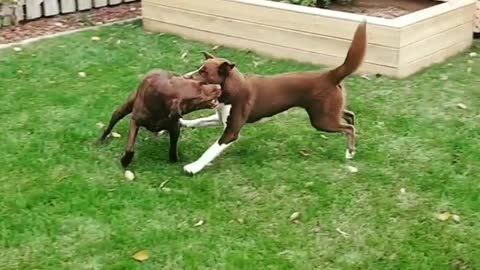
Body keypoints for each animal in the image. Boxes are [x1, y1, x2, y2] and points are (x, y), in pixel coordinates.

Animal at [181, 20, 368, 174]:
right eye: (200, 69)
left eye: (204, 73)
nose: (184, 76)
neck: (232, 89)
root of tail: (330, 75)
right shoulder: (221, 118)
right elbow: (200, 121)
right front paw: (184, 122)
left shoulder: (232, 131)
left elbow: (211, 149)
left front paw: (193, 167)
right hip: (329, 111)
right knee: (350, 116)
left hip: (322, 120)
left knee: (349, 128)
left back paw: (350, 151)